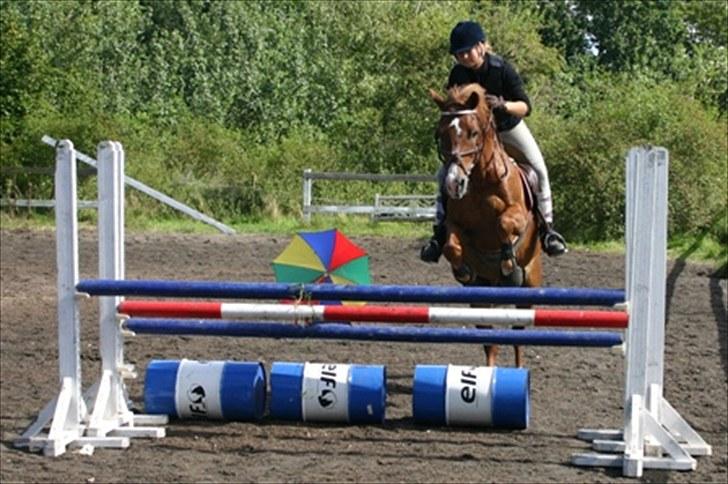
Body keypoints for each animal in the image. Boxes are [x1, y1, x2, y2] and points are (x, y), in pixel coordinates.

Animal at [429, 83, 543, 368]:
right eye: (441, 134)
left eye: (474, 133)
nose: (454, 183)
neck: (480, 181)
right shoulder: (455, 224)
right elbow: (451, 246)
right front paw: (462, 270)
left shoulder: (518, 216)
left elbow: (504, 223)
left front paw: (508, 264)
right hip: (480, 295)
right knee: (489, 338)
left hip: (531, 285)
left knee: (519, 335)